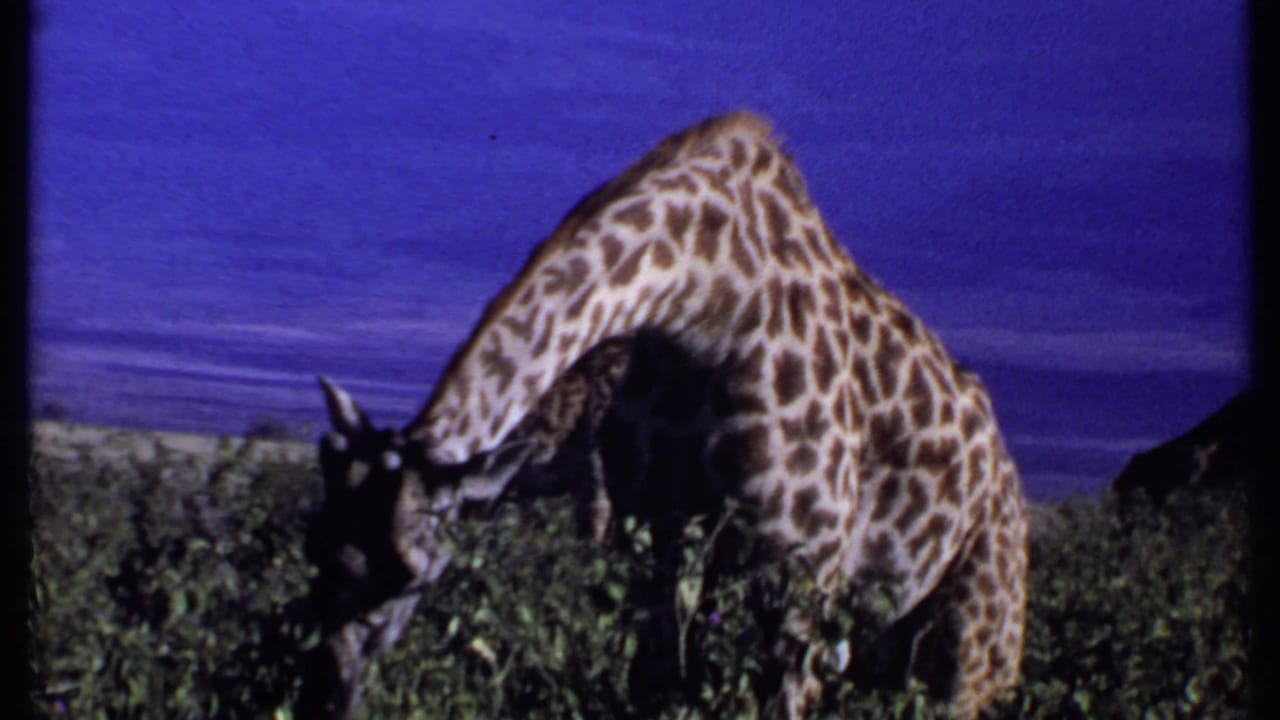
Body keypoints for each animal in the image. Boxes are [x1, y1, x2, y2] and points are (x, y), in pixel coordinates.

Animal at [303, 111, 1028, 719]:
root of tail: (1009, 483)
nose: (326, 694)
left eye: (409, 576)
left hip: (974, 639)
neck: (706, 302)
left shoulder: (796, 576)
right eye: (317, 546)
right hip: (889, 643)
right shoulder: (652, 543)